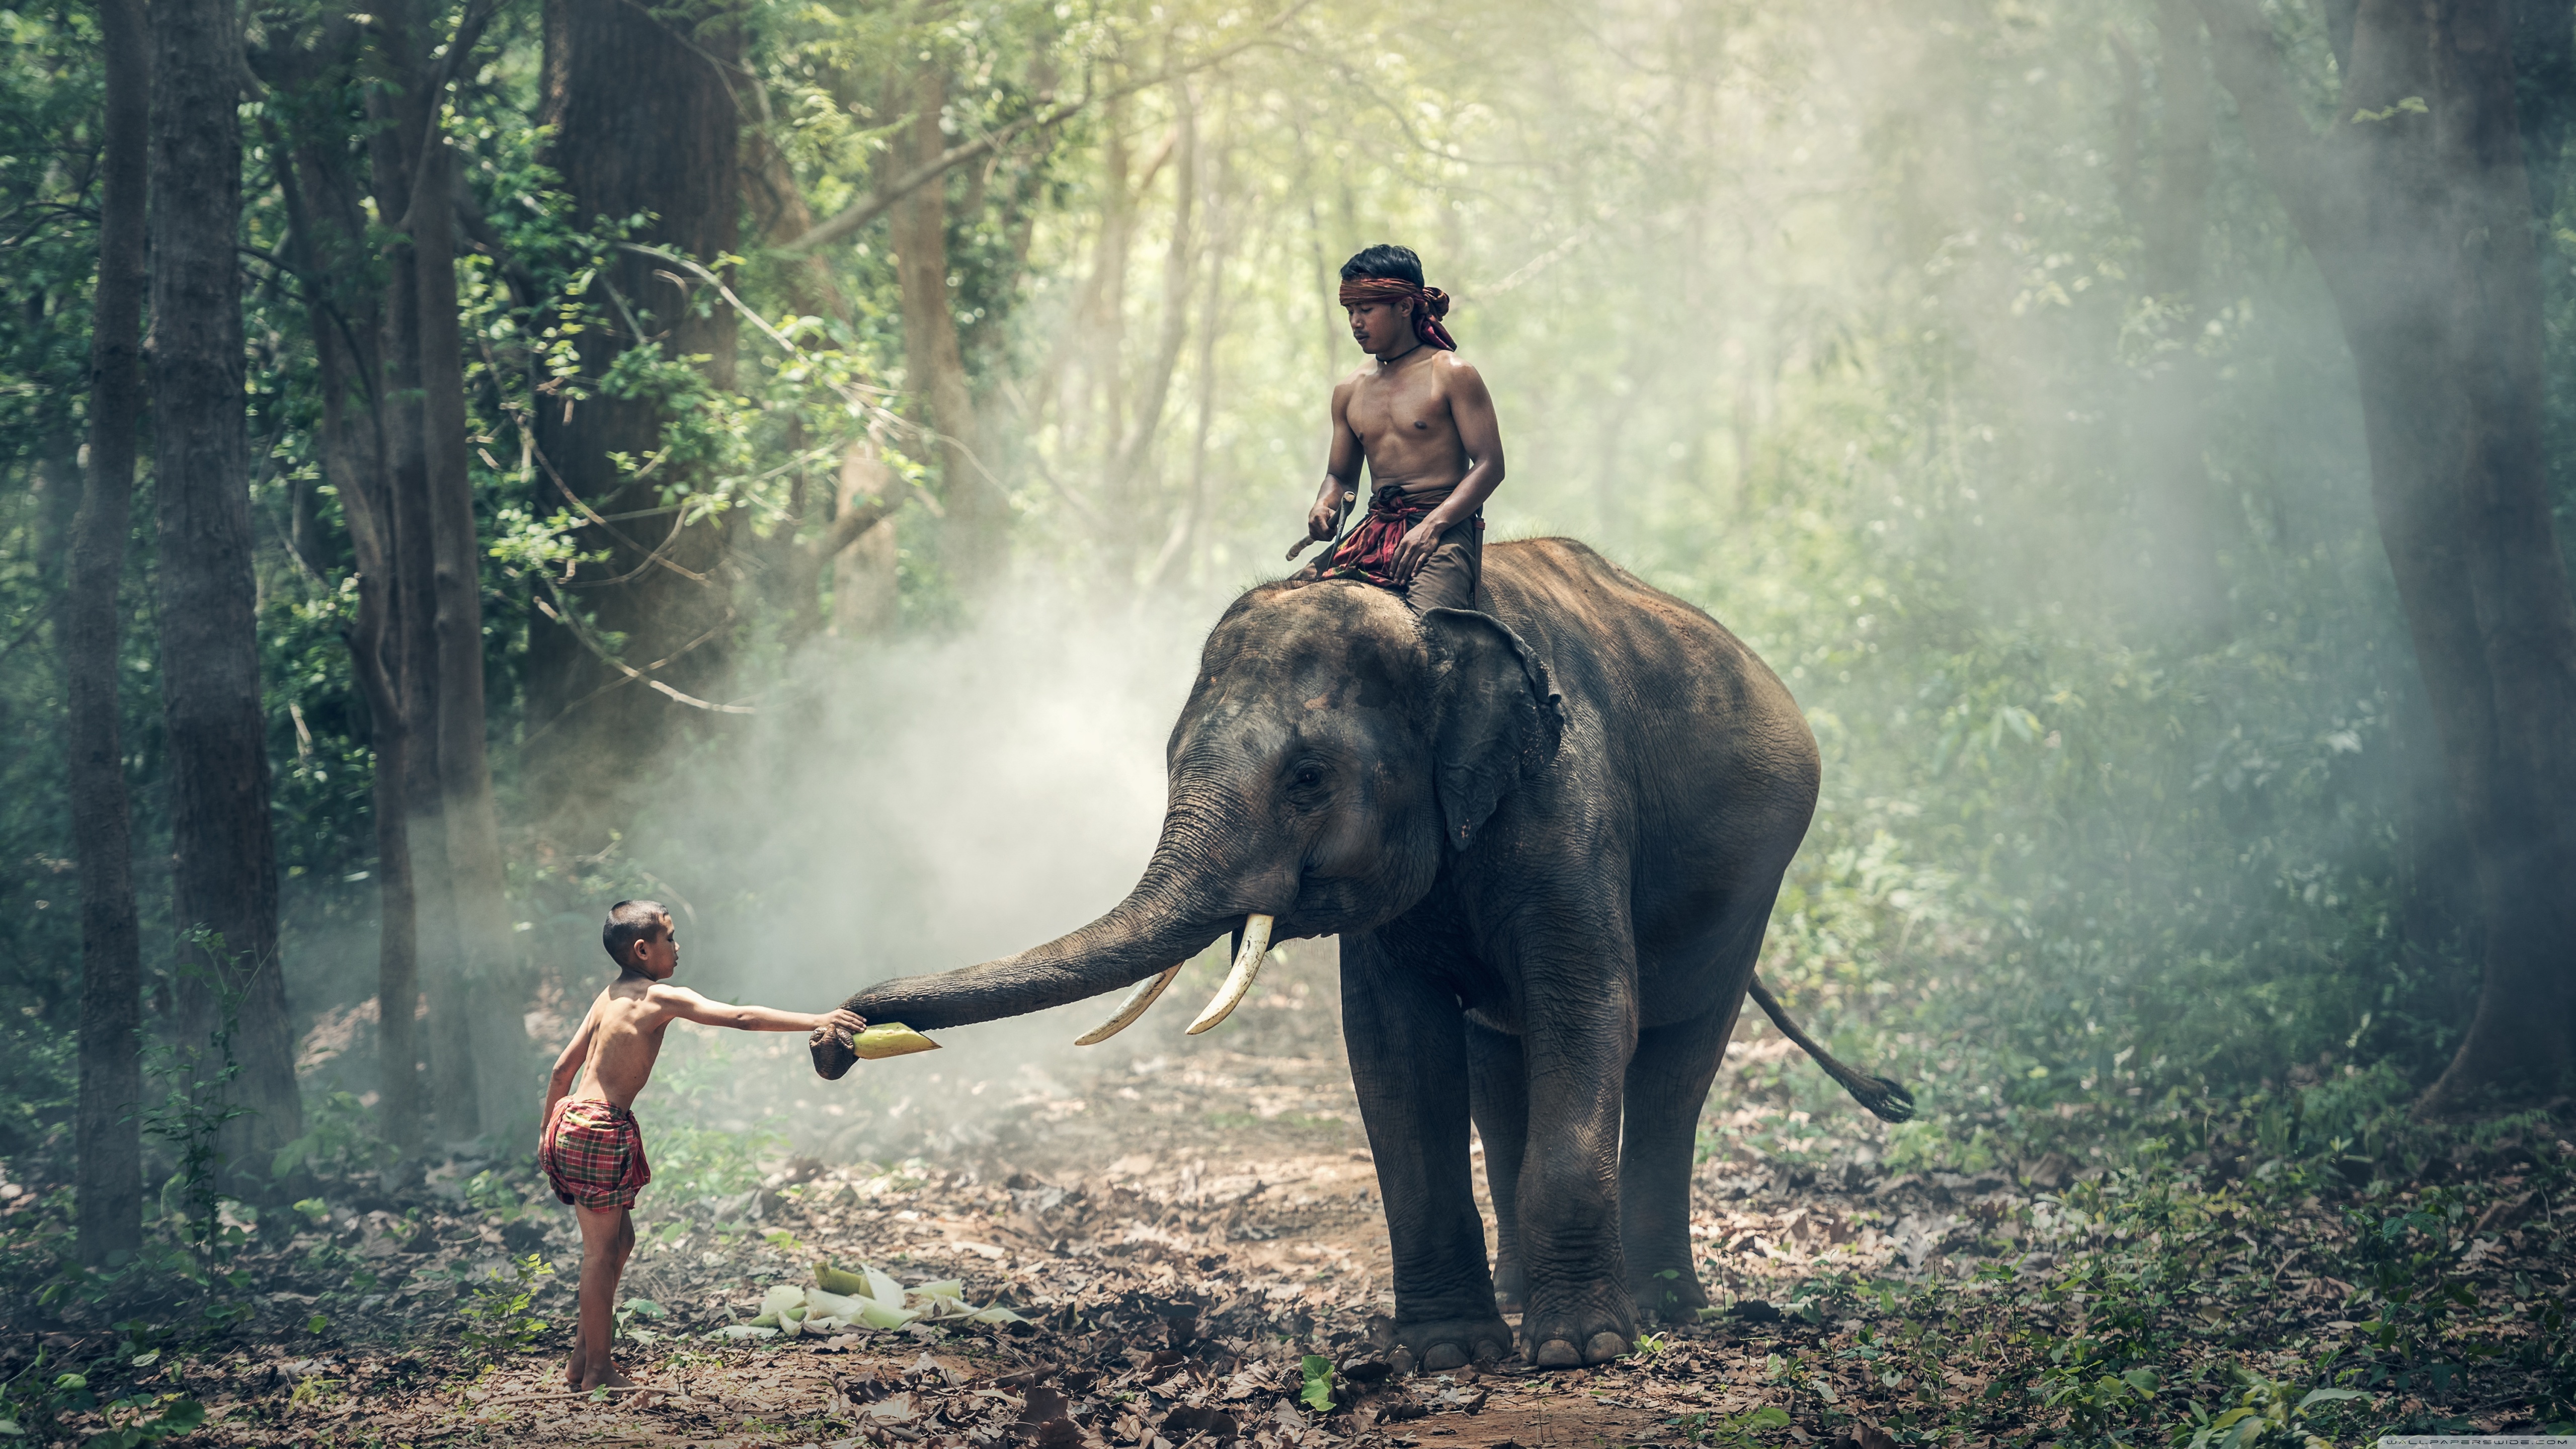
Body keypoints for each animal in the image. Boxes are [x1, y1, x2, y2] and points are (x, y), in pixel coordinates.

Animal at [811, 537, 1912, 1371]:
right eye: (1168, 762)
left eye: (1307, 777)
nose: (835, 1037)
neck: (1432, 627)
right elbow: (1392, 1047)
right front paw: (1451, 1353)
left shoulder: (1572, 806)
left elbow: (1590, 1007)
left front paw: (1580, 1353)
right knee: (1500, 1068)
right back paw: (1527, 1297)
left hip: (1753, 886)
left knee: (1676, 1063)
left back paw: (1663, 1309)